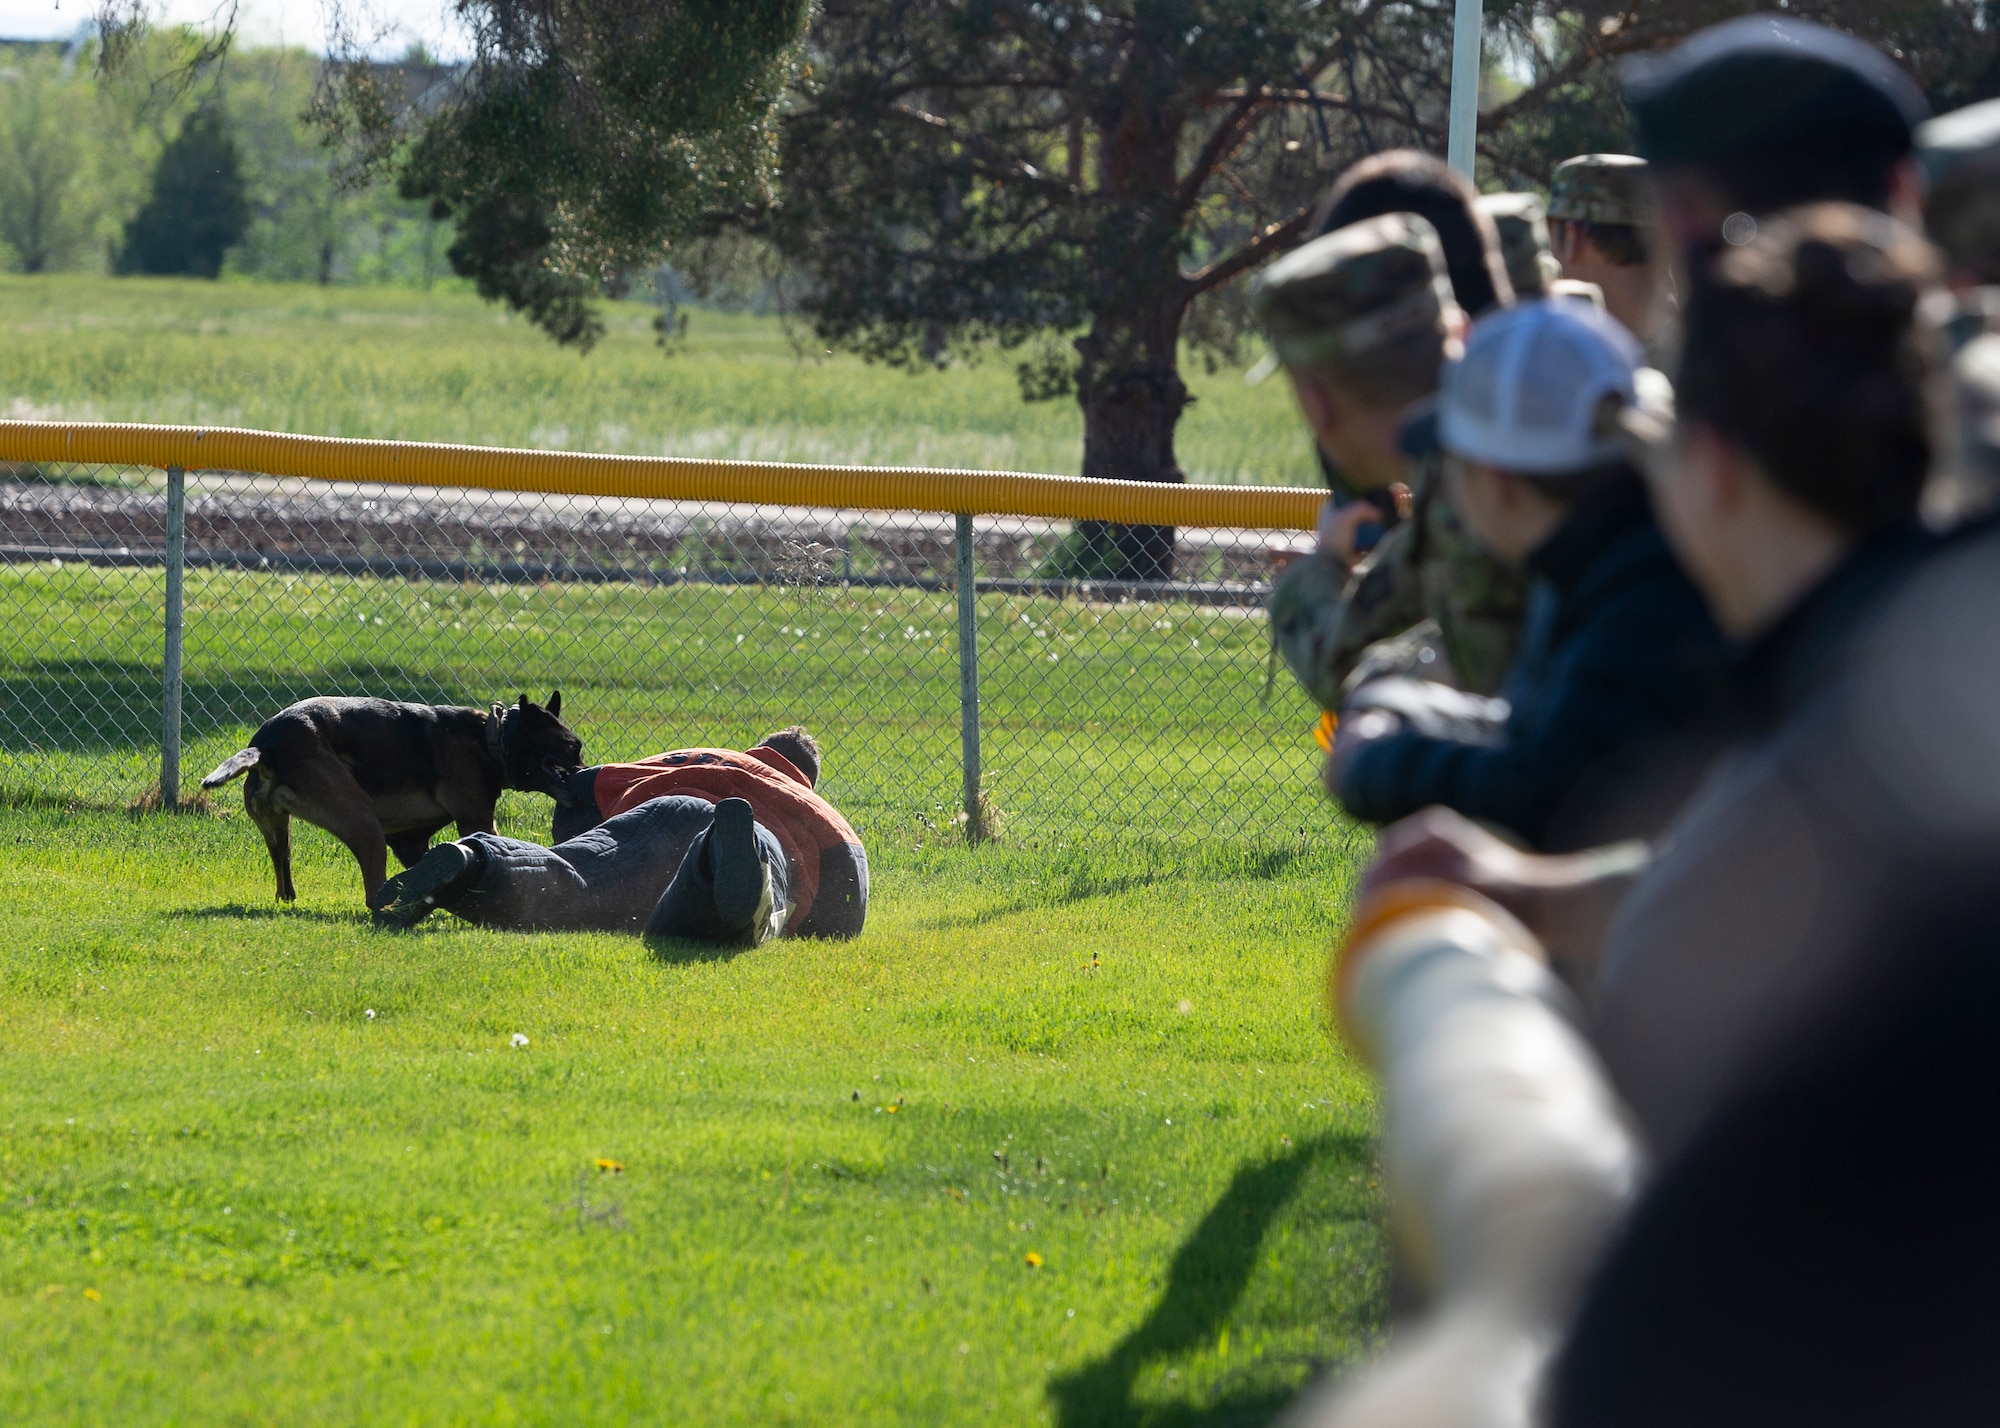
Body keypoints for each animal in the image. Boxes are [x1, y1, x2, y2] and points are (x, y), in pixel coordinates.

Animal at [200, 688, 584, 900]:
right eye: (570, 747)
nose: (585, 772)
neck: (492, 738)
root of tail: (265, 745)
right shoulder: (476, 820)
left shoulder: (408, 840)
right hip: (362, 821)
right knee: (372, 892)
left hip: (280, 832)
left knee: (285, 881)